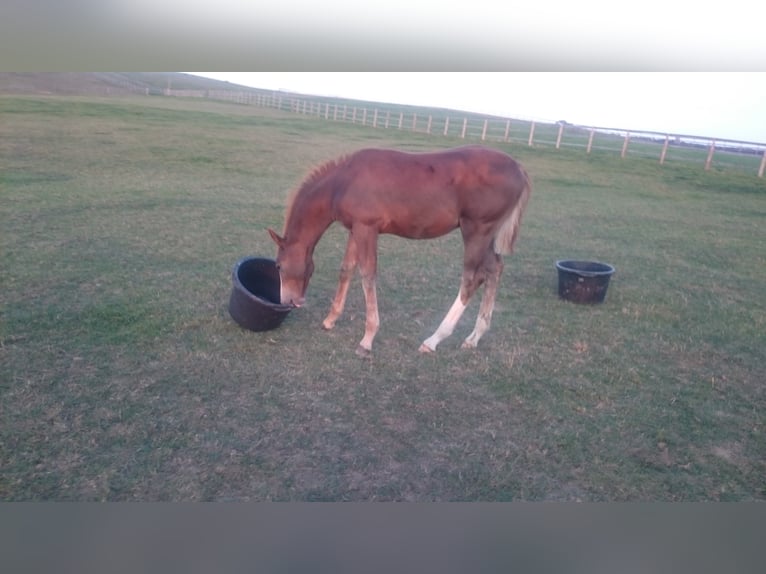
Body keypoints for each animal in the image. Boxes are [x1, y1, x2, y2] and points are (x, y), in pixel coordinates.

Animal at [267, 145, 532, 357]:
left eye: (279, 265)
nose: (289, 301)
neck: (343, 182)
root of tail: (519, 169)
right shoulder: (356, 229)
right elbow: (347, 270)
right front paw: (330, 320)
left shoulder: (367, 228)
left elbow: (367, 275)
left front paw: (367, 340)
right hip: (487, 235)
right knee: (494, 269)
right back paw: (475, 336)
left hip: (476, 230)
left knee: (471, 279)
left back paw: (434, 340)